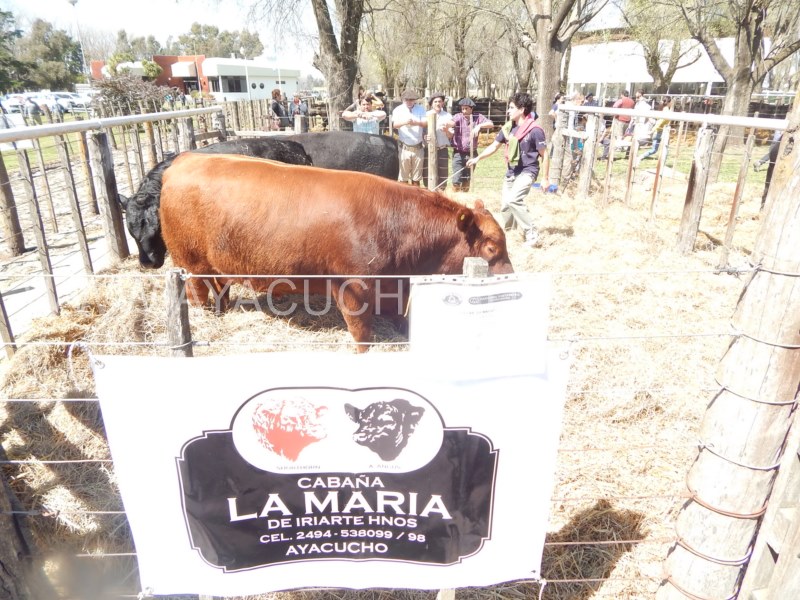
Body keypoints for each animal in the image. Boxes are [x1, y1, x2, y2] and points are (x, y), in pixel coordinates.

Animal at [159, 152, 514, 350]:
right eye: (491, 246)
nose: (512, 278)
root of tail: (184, 159)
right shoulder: (353, 292)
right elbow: (362, 336)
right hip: (189, 263)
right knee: (197, 293)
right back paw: (208, 317)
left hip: (217, 264)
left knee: (220, 287)